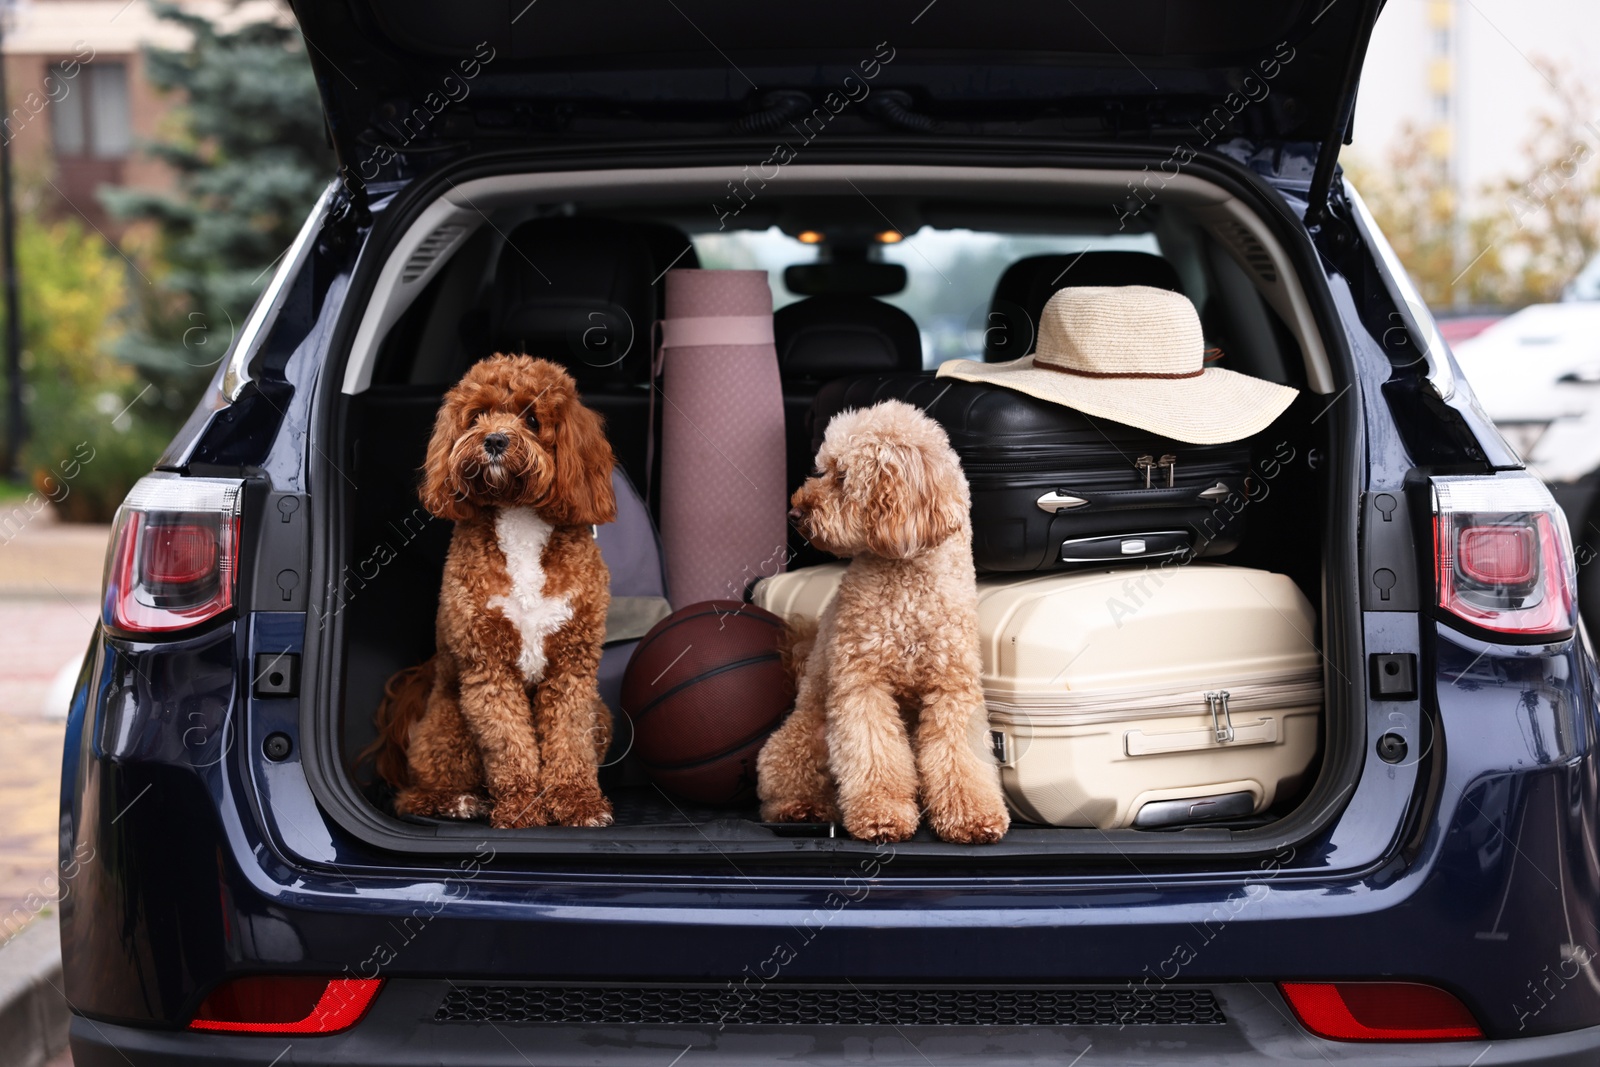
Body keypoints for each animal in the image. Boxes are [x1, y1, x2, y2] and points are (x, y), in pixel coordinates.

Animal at [369, 355, 617, 831]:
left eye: (533, 419)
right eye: (477, 415)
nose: (495, 439)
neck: (519, 517)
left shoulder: (572, 667)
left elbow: (569, 742)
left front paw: (577, 802)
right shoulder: (488, 668)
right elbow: (509, 745)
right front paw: (522, 806)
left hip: (603, 712)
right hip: (447, 725)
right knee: (412, 795)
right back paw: (459, 801)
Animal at [755, 396, 1004, 844]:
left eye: (842, 477)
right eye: (822, 469)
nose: (795, 512)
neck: (908, 583)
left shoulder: (952, 689)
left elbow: (960, 757)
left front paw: (973, 817)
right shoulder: (862, 684)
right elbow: (876, 755)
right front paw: (882, 816)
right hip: (801, 738)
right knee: (787, 782)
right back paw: (802, 810)